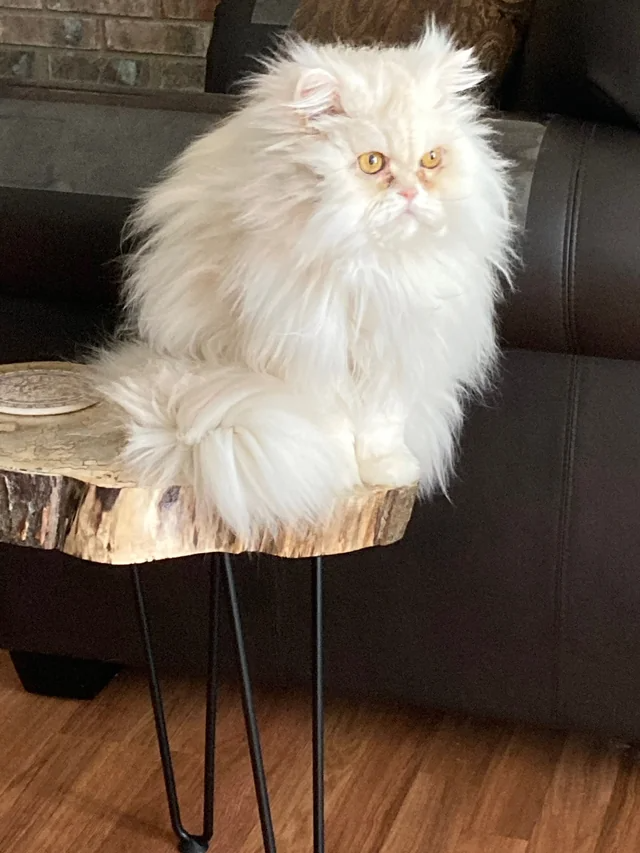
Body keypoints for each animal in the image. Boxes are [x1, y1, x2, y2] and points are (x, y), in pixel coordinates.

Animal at [94, 23, 514, 540]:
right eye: (372, 163)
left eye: (432, 160)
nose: (411, 193)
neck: (372, 268)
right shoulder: (308, 350)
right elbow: (330, 424)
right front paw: (335, 469)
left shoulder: (395, 349)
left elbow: (381, 427)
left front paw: (386, 469)